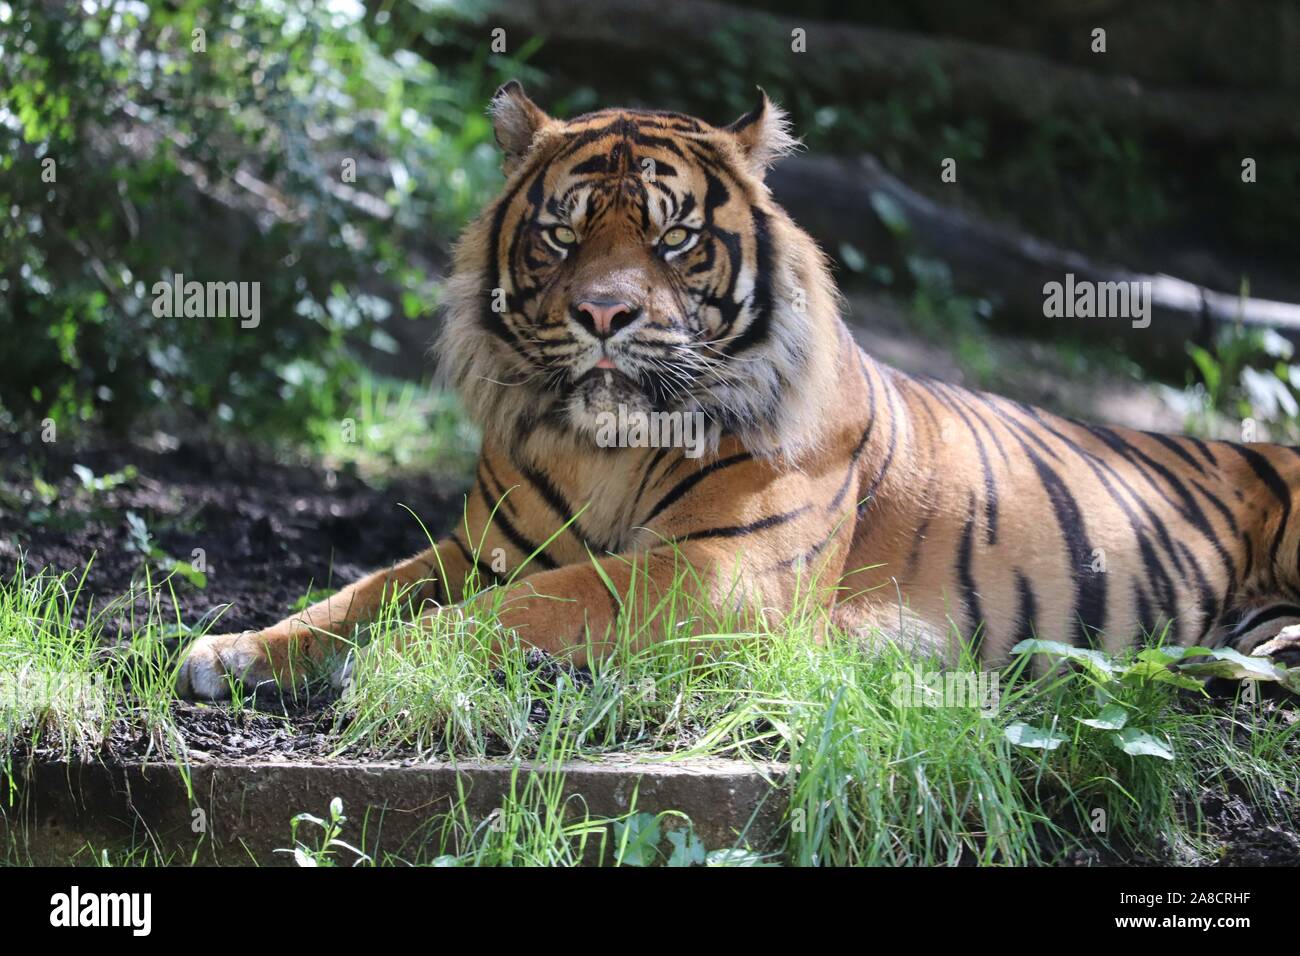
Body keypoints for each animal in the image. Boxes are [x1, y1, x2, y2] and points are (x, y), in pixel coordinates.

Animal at [180, 83, 1300, 702]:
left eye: (672, 237)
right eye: (563, 234)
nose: (603, 314)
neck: (607, 446)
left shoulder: (718, 572)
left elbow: (533, 605)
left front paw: (401, 660)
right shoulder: (480, 548)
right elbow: (356, 593)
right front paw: (233, 651)